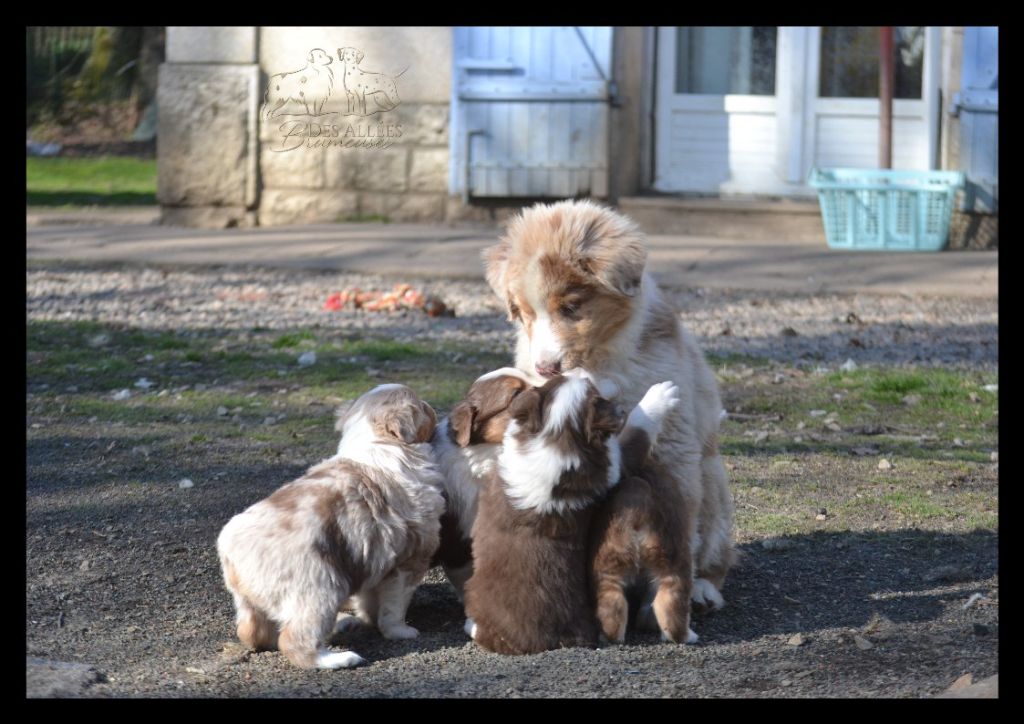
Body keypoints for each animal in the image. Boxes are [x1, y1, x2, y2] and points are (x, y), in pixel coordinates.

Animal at [214, 382, 442, 671]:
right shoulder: (409, 561)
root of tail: (231, 550)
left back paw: (343, 623)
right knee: (294, 640)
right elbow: (394, 606)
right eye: (421, 405)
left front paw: (369, 619)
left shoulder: (374, 558)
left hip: (250, 605)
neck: (374, 443)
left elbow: (371, 599)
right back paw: (340, 658)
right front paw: (401, 632)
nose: (433, 407)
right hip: (320, 589)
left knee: (258, 634)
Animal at [481, 199, 737, 610]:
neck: (596, 360)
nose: (545, 367)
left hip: (712, 480)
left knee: (714, 546)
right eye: (524, 313)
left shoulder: (674, 444)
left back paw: (703, 588)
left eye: (571, 307)